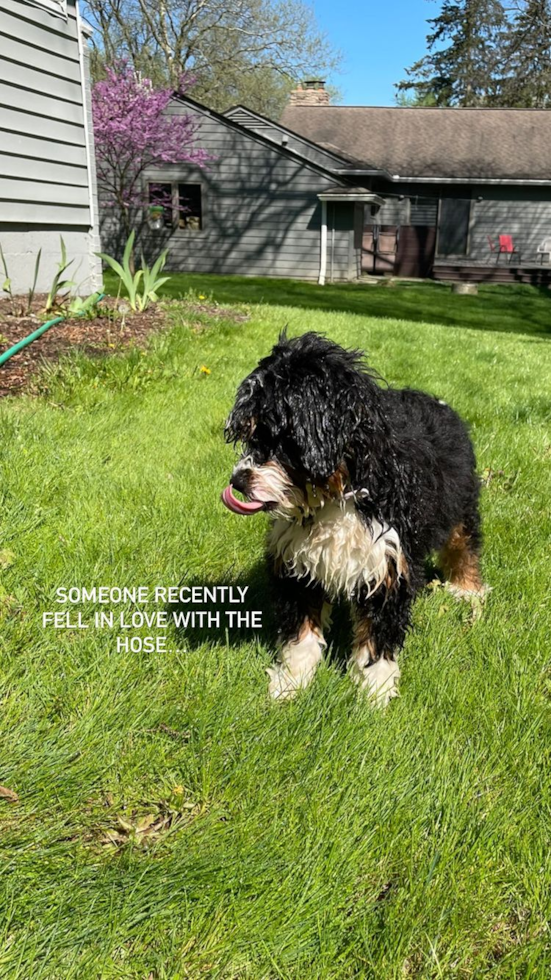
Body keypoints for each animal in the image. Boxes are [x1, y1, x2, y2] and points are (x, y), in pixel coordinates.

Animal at [220, 334, 488, 700]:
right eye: (251, 435)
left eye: (277, 436)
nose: (238, 481)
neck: (338, 495)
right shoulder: (297, 562)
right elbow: (300, 630)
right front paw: (292, 680)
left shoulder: (389, 562)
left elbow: (377, 633)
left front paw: (373, 692)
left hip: (461, 503)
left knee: (464, 542)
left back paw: (467, 588)